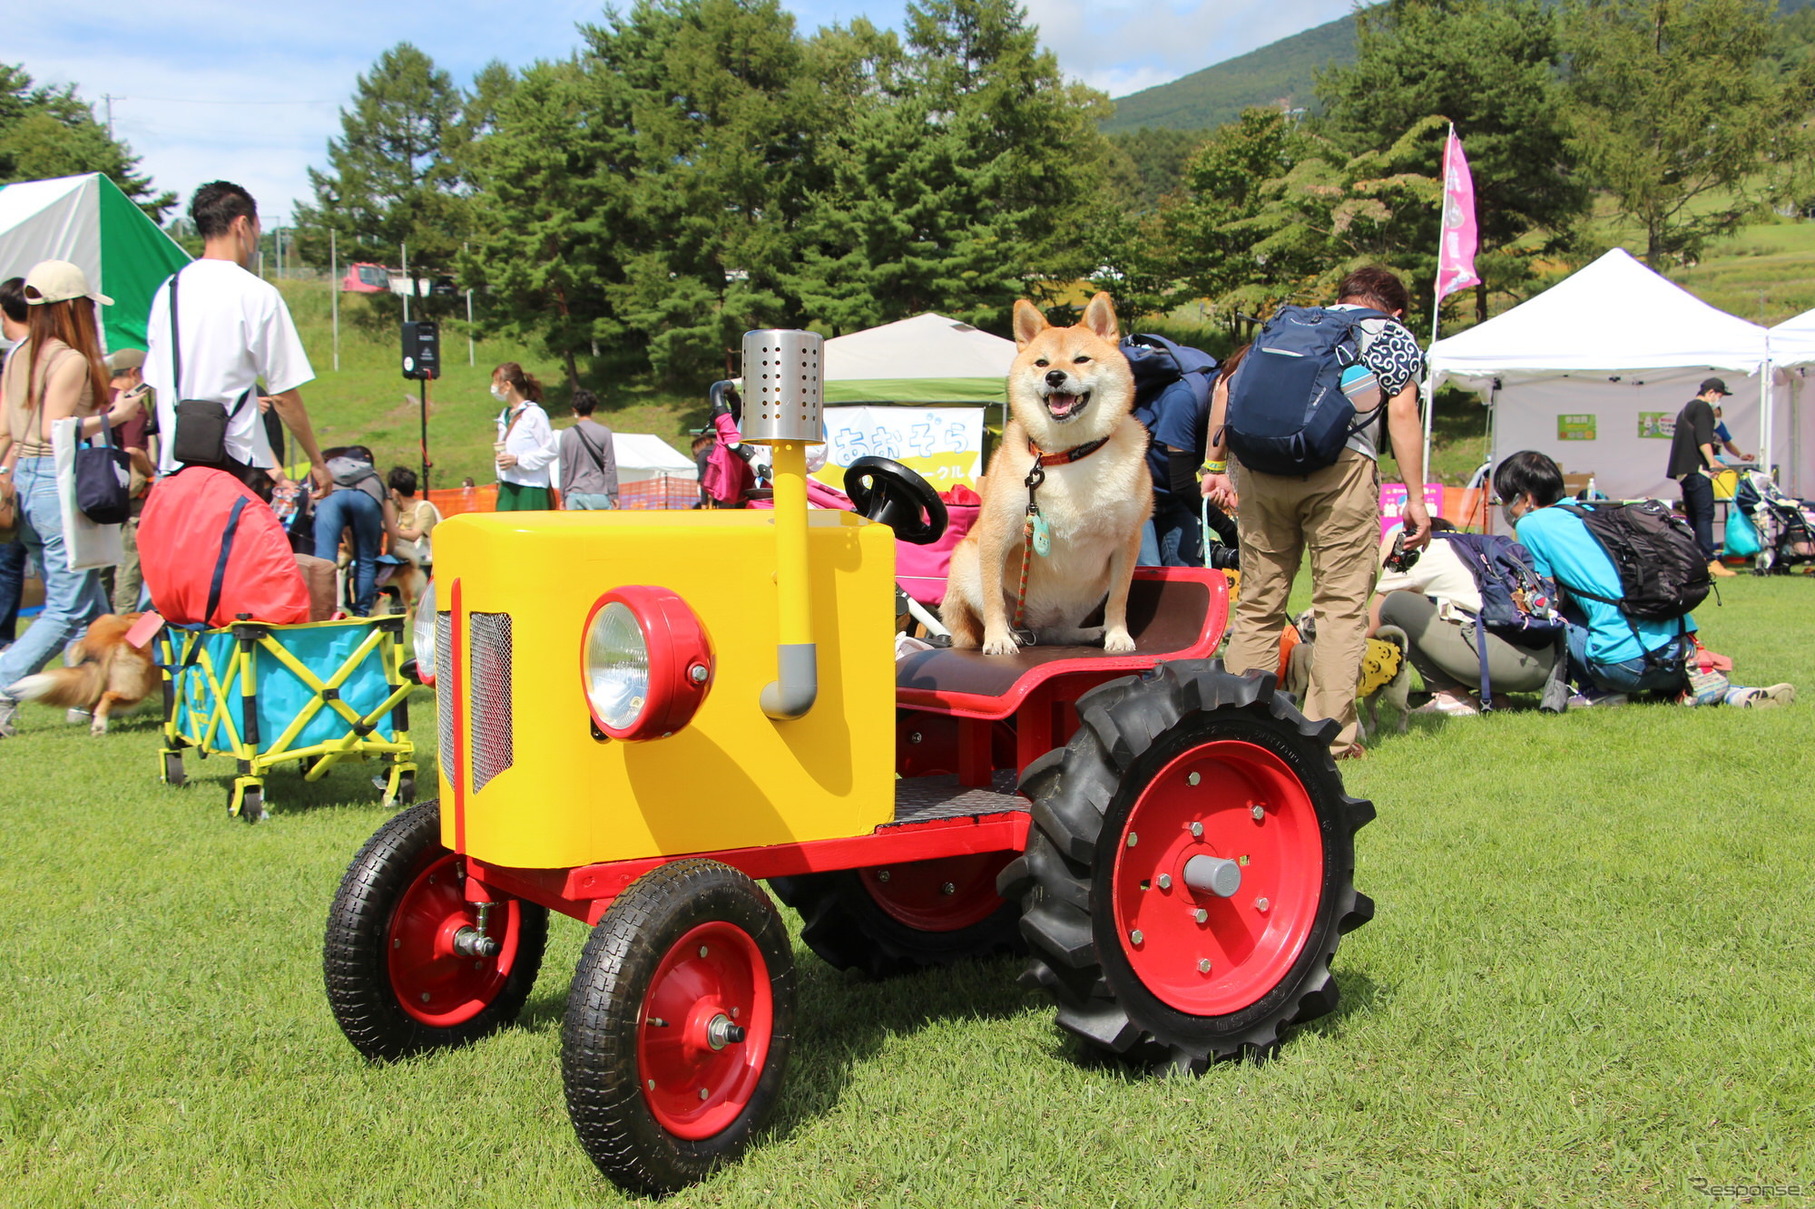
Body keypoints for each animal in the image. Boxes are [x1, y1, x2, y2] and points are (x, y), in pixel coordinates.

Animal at [943, 290, 1154, 649]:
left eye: (1081, 359)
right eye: (1042, 363)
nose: (1055, 376)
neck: (1066, 456)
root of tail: (1035, 629)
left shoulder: (1128, 539)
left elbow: (1120, 598)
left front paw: (1117, 635)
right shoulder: (996, 536)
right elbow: (993, 597)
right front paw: (998, 639)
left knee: (1059, 631)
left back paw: (1087, 632)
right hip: (966, 562)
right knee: (991, 610)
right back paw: (1011, 633)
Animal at [1285, 606, 1408, 740]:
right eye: (1304, 618)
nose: (1312, 620)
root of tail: (1399, 649)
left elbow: (1354, 721)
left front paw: (1360, 737)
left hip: (1395, 696)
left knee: (1405, 710)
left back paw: (1401, 729)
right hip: (1370, 699)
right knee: (1374, 716)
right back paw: (1370, 731)